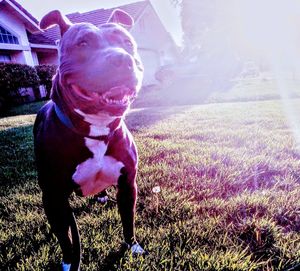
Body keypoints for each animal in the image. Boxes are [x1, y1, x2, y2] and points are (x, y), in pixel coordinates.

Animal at [32, 8, 144, 271]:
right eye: (82, 43)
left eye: (127, 43)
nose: (122, 58)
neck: (96, 131)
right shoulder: (54, 196)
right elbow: (65, 236)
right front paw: (68, 261)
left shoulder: (128, 184)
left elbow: (128, 219)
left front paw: (132, 246)